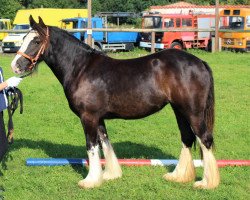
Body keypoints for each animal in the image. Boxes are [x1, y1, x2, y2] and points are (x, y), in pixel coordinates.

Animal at [10, 16, 220, 189]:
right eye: (24, 38)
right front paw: (110, 175)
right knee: (187, 138)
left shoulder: (88, 117)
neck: (80, 68)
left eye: (36, 41)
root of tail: (200, 62)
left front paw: (90, 181)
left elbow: (91, 146)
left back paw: (206, 183)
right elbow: (105, 143)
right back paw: (178, 176)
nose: (15, 66)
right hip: (179, 110)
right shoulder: (99, 118)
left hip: (193, 112)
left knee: (205, 139)